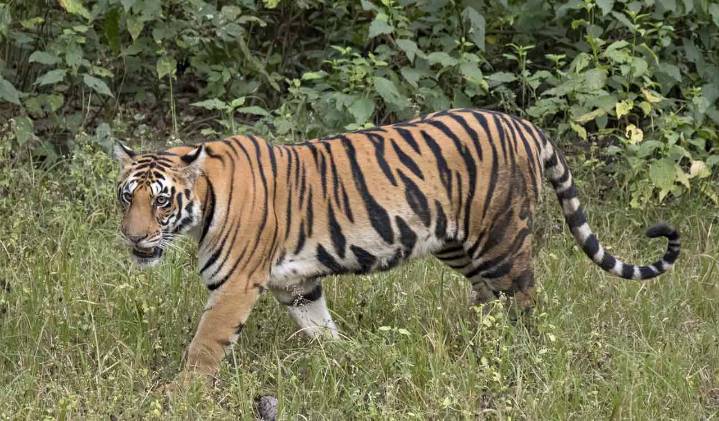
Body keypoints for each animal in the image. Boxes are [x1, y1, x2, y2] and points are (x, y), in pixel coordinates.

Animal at [113, 108, 680, 379]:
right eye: (126, 197)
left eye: (161, 201)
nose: (133, 238)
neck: (203, 203)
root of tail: (522, 124)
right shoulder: (297, 284)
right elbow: (320, 327)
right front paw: (346, 358)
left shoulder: (234, 287)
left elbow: (205, 345)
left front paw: (184, 395)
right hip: (458, 244)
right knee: (488, 298)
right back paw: (475, 342)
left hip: (501, 240)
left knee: (523, 299)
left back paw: (516, 352)